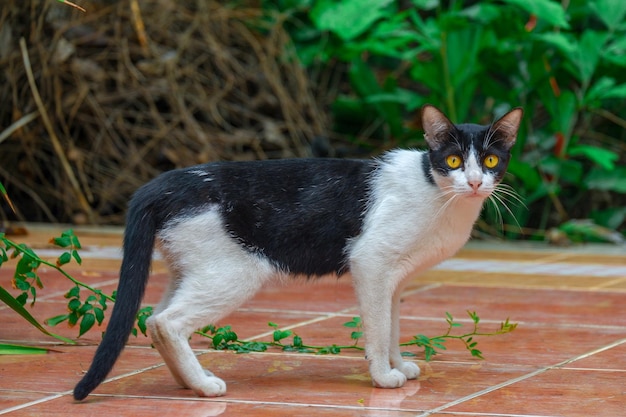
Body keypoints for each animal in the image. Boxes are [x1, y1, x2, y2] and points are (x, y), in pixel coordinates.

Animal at [73, 104, 520, 400]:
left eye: (490, 160)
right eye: (454, 160)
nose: (475, 182)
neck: (436, 192)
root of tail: (161, 184)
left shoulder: (394, 279)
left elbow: (392, 325)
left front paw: (398, 365)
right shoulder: (371, 263)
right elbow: (377, 330)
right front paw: (382, 376)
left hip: (191, 269)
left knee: (152, 319)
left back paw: (188, 382)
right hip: (232, 274)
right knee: (168, 322)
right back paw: (205, 386)